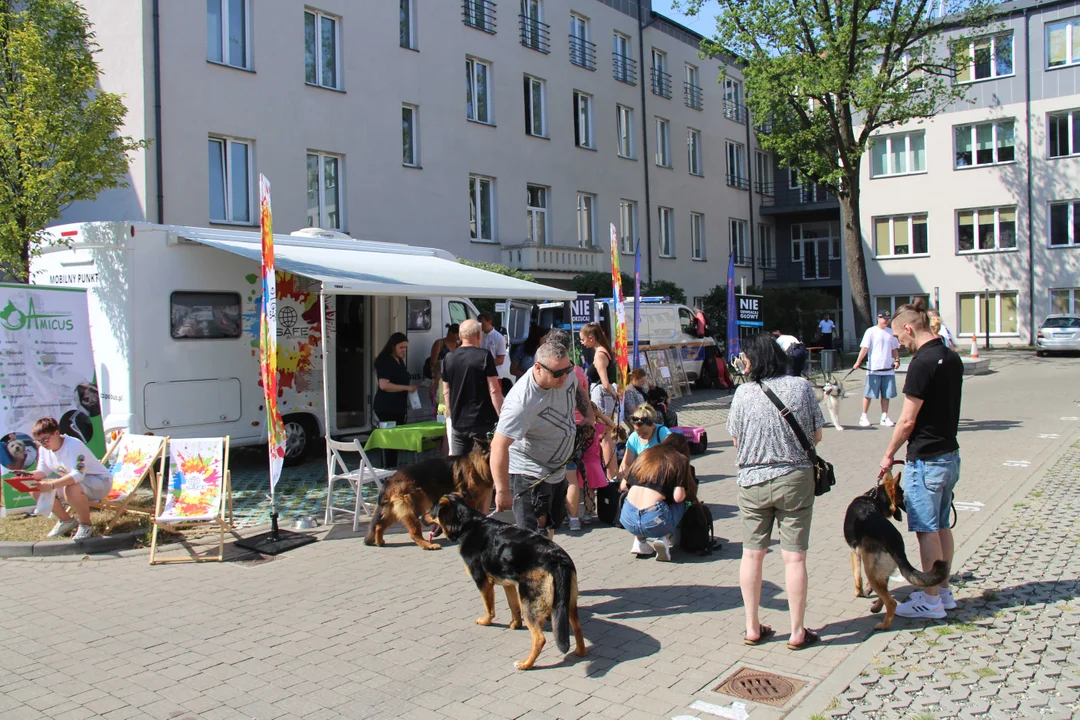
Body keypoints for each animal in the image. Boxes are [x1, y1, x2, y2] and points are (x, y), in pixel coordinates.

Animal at [429, 492, 587, 673]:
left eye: (431, 510)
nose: (420, 516)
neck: (468, 525)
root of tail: (558, 559)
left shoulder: (483, 582)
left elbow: (489, 608)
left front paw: (486, 621)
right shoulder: (509, 584)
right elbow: (513, 607)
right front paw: (515, 624)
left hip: (529, 602)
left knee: (539, 638)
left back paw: (526, 664)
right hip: (567, 602)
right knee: (577, 627)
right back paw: (580, 652)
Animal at [842, 468, 946, 630]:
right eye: (903, 496)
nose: (910, 505)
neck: (873, 499)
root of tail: (895, 543)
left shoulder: (854, 553)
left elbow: (857, 576)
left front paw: (858, 592)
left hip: (870, 570)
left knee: (891, 602)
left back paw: (883, 626)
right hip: (880, 570)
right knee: (884, 592)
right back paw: (877, 607)